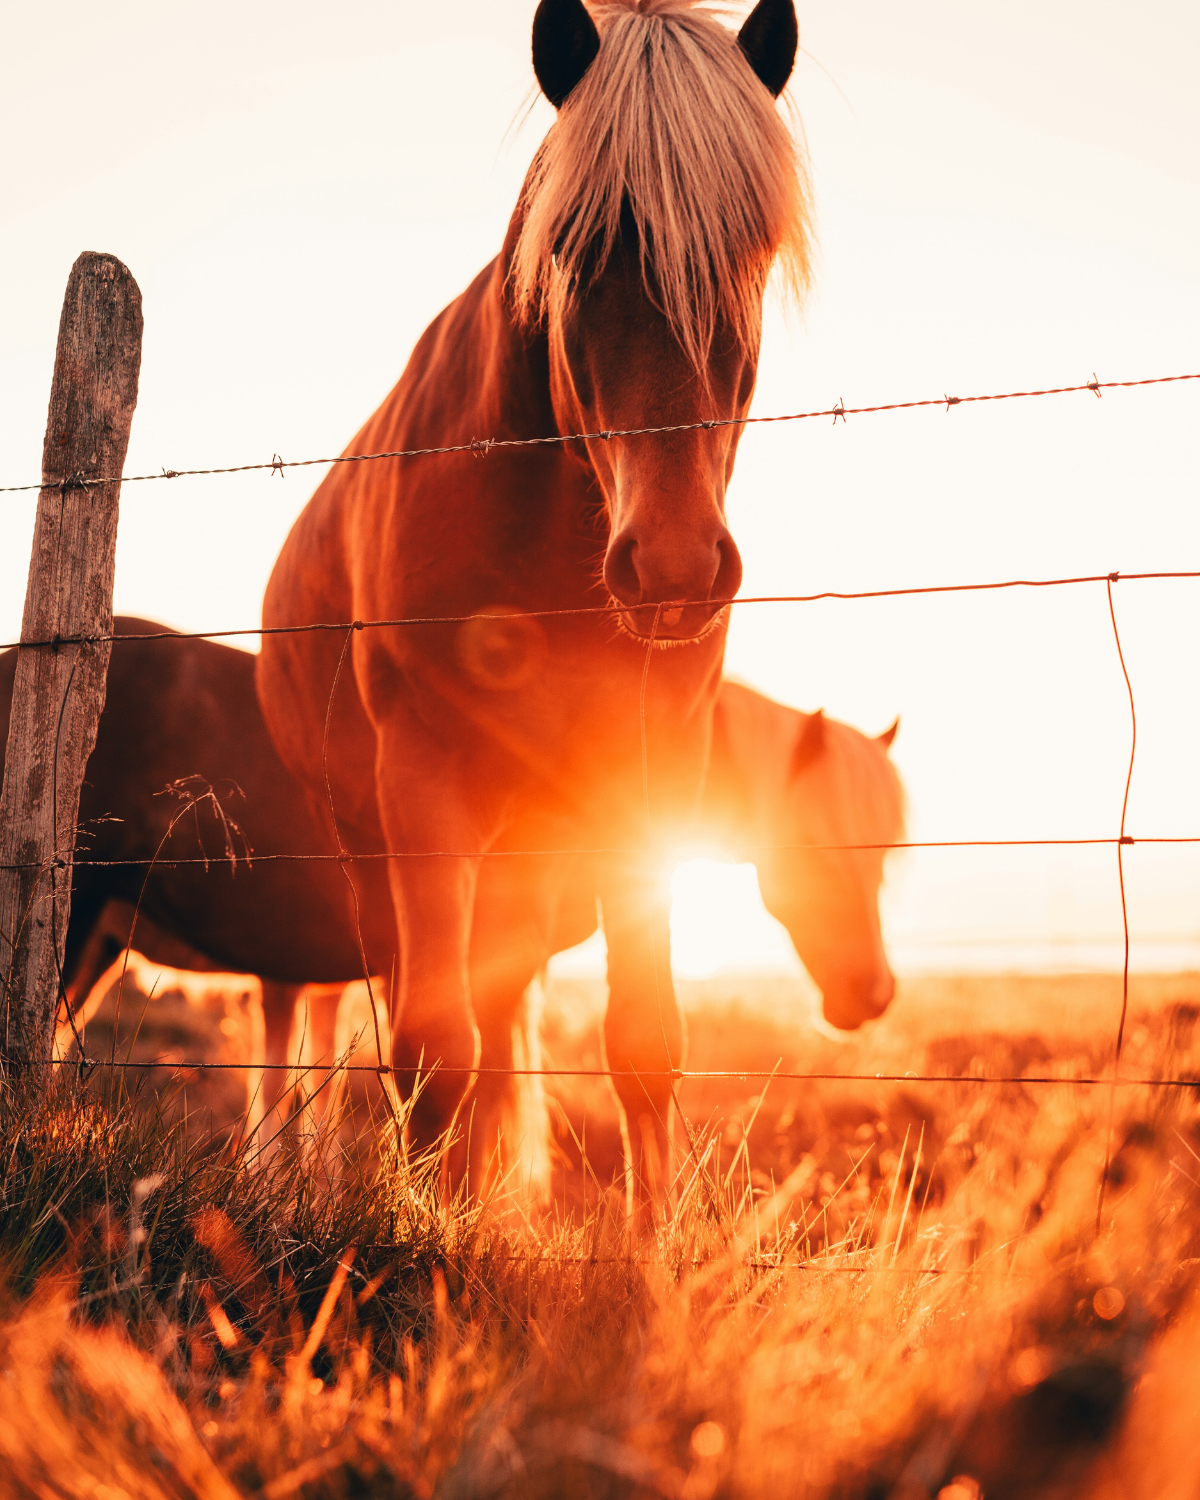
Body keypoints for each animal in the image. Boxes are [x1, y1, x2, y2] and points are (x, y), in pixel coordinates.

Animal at [255, 0, 814, 1203]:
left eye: (748, 250)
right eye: (572, 249)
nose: (674, 567)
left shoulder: (644, 785)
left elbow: (644, 1042)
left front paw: (648, 1245)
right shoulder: (421, 782)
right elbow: (429, 1051)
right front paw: (425, 1232)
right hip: (376, 850)